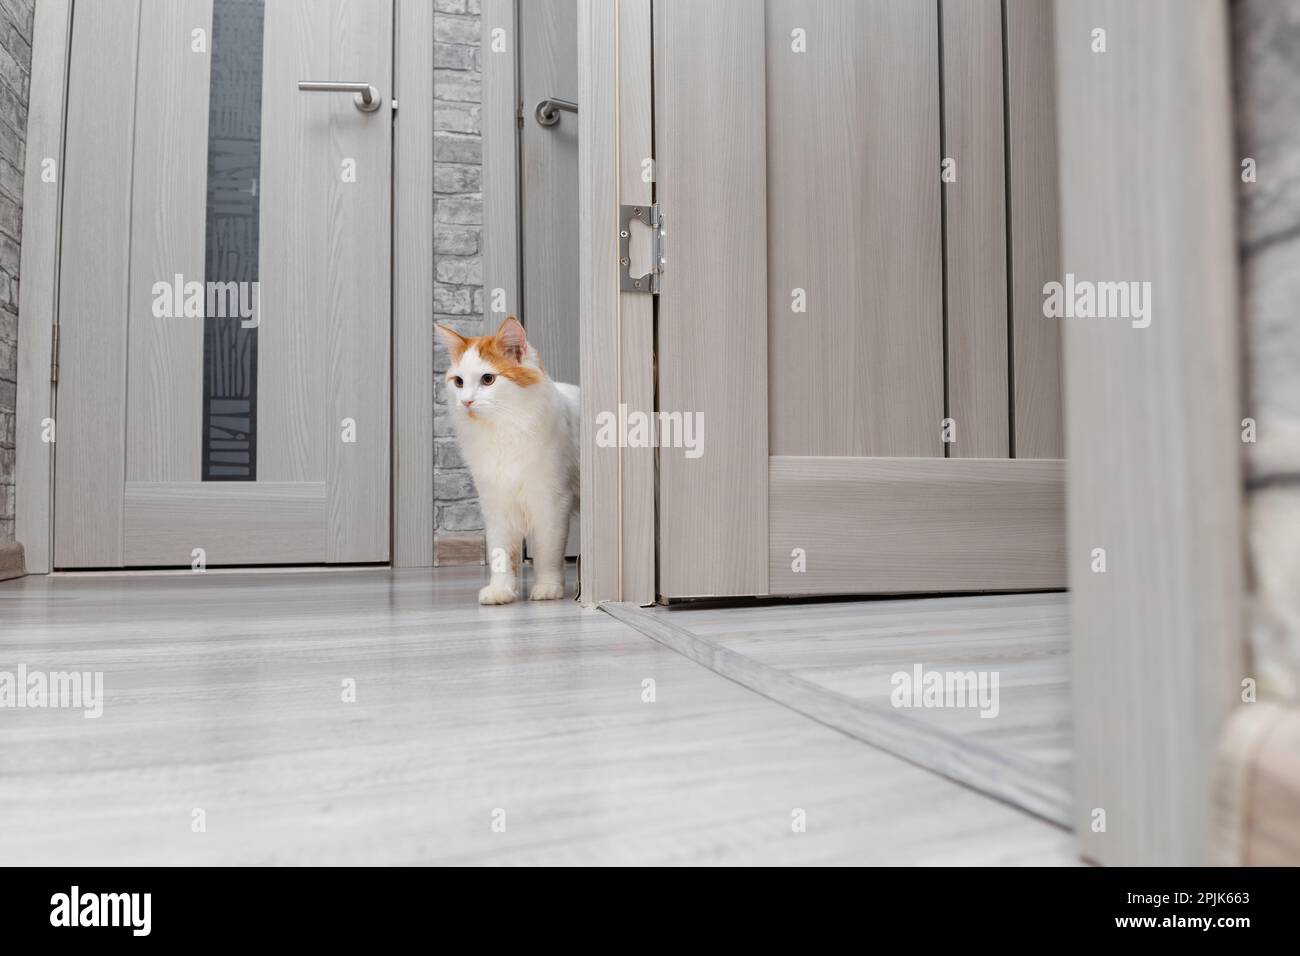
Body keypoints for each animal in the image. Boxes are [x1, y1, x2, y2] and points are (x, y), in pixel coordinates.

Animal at [436, 319, 579, 606]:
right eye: (458, 382)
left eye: (488, 379)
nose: (466, 401)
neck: (503, 432)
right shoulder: (496, 504)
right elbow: (501, 553)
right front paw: (500, 590)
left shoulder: (552, 502)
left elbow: (547, 551)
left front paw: (548, 588)